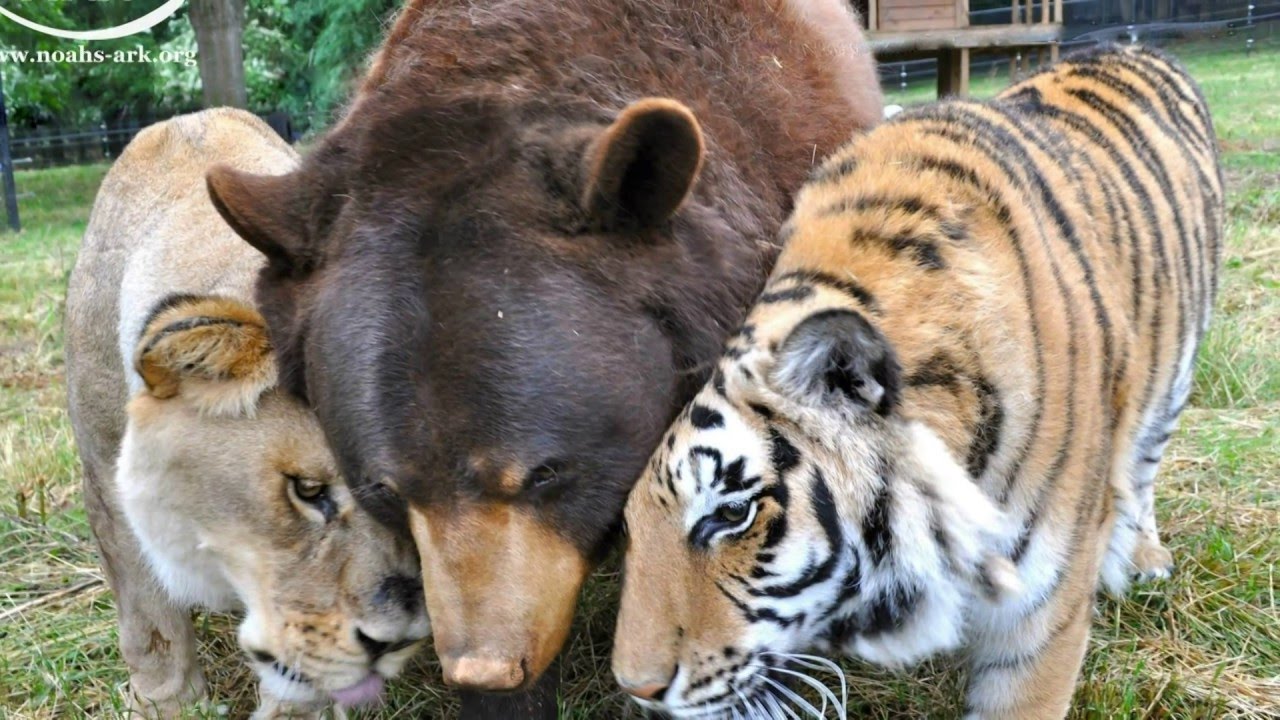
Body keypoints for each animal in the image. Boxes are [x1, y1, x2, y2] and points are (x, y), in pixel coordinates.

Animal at [614, 46, 1223, 717]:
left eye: (732, 514)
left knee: (1141, 469)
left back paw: (1143, 557)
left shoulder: (1043, 609)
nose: (636, 687)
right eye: (629, 527)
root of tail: (1133, 46)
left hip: (1173, 379)